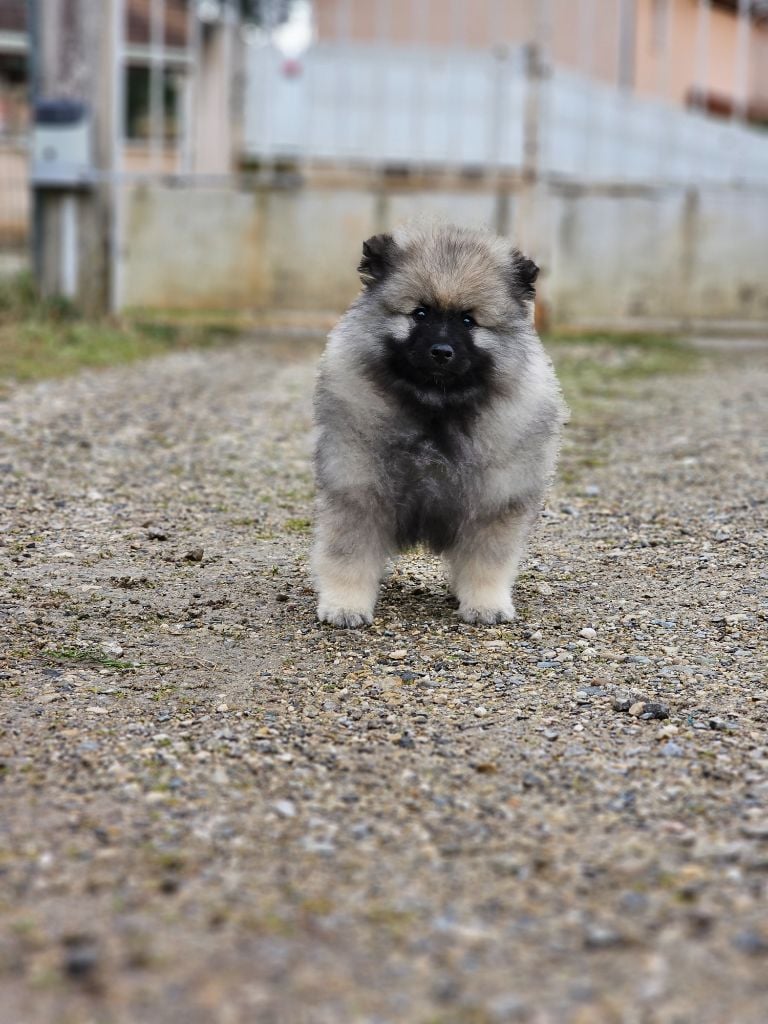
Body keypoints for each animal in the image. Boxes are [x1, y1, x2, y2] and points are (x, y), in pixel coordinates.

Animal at [311, 223, 565, 622]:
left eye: (467, 320)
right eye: (420, 313)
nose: (441, 352)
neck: (436, 408)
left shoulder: (493, 502)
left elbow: (486, 562)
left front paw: (485, 604)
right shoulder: (359, 491)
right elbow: (349, 555)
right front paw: (345, 604)